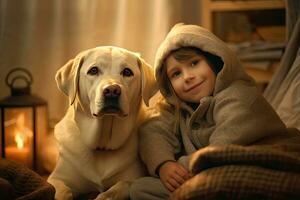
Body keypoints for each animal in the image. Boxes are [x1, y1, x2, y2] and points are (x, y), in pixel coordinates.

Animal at [47, 46, 157, 199]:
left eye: (127, 72)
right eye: (93, 70)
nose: (112, 90)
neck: (102, 146)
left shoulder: (133, 178)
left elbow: (116, 189)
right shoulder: (56, 178)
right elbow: (62, 191)